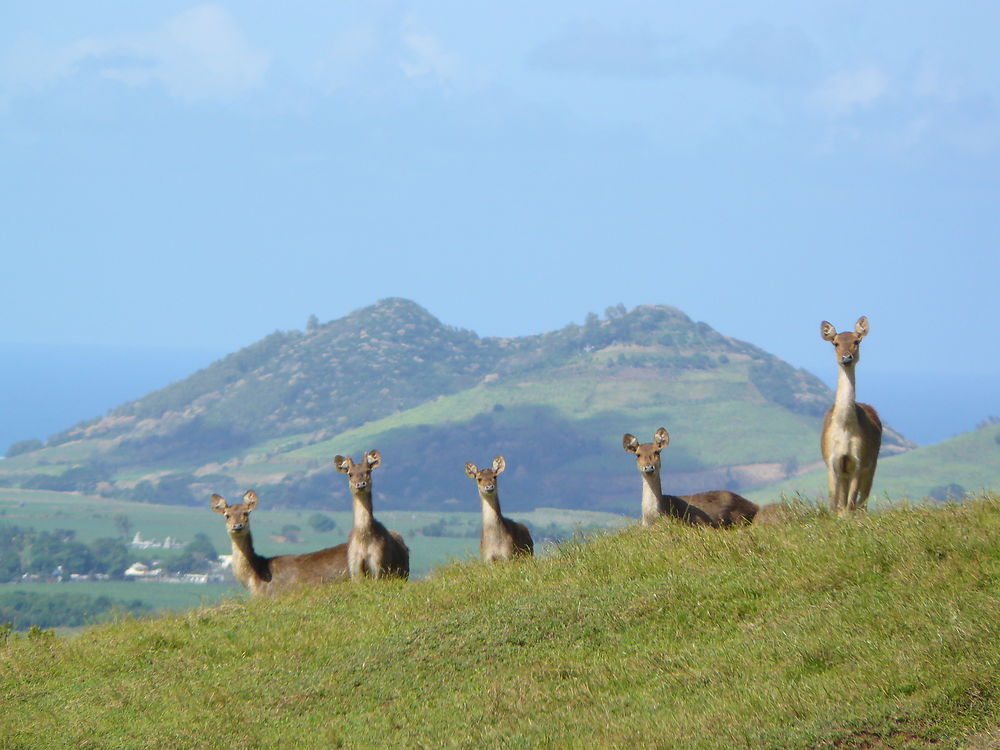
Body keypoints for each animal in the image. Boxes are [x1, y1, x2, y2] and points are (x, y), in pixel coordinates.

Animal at [334, 452, 408, 580]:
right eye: (350, 474)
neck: (363, 539)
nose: (360, 484)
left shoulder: (379, 565)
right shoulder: (354, 567)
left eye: (368, 470)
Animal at [820, 314, 884, 516]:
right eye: (835, 343)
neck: (845, 430)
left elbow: (850, 503)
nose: (846, 357)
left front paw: (847, 517)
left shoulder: (859, 461)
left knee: (862, 501)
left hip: (873, 463)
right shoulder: (832, 461)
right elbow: (834, 503)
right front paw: (834, 516)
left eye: (857, 340)